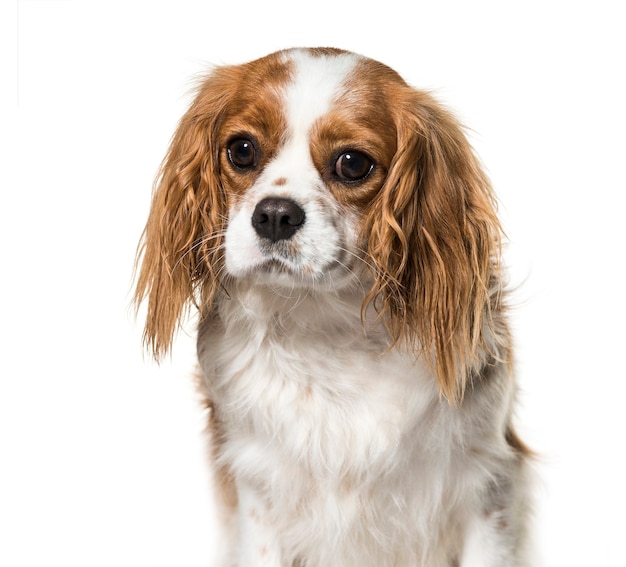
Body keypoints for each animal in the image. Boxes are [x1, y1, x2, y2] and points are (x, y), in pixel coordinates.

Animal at [134, 46, 528, 564]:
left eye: (352, 163)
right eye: (242, 150)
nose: (275, 215)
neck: (324, 329)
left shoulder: (487, 485)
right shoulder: (257, 489)